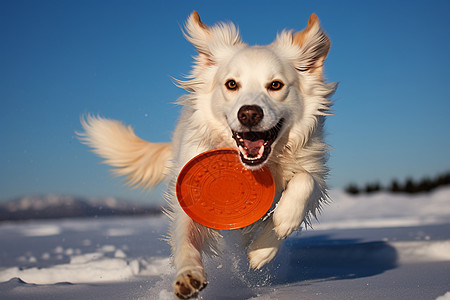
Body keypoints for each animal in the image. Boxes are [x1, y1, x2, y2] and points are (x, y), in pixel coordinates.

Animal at [79, 11, 336, 298]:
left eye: (276, 85)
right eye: (232, 84)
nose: (249, 114)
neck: (260, 166)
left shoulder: (314, 167)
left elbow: (305, 182)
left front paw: (274, 234)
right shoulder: (188, 197)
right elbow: (186, 241)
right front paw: (188, 276)